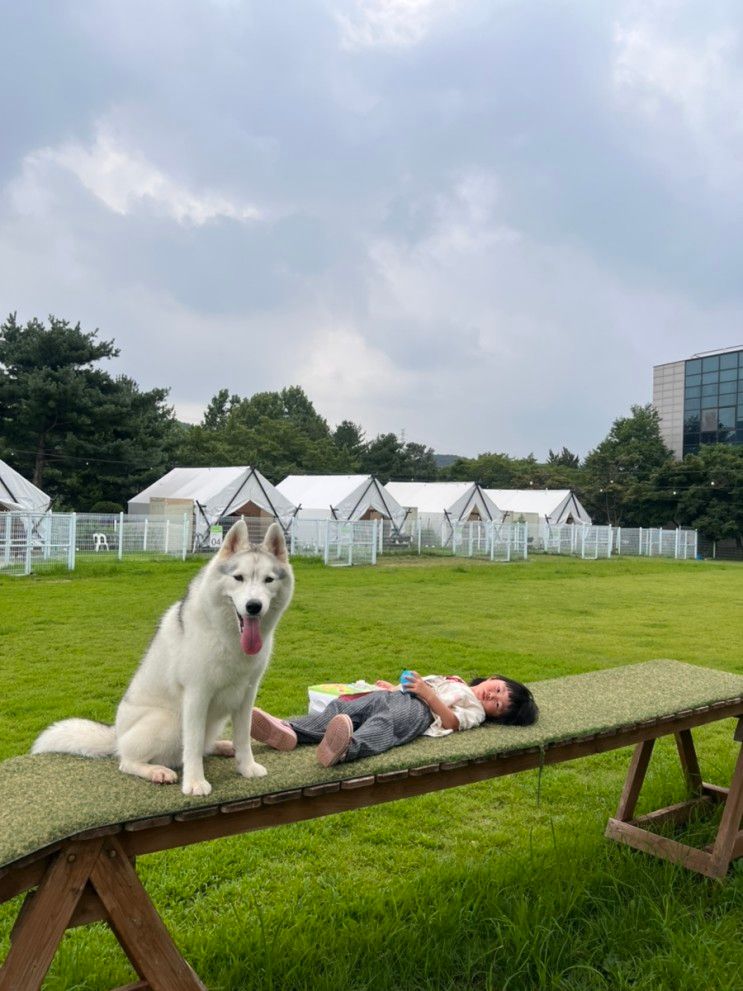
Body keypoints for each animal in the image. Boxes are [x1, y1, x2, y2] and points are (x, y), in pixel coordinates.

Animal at [32, 520, 294, 800]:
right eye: (238, 578)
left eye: (268, 580)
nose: (254, 606)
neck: (228, 638)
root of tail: (117, 735)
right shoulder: (196, 695)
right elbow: (192, 747)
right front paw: (194, 782)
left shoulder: (246, 695)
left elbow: (243, 737)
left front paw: (246, 767)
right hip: (169, 722)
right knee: (128, 761)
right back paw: (156, 771)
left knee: (203, 745)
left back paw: (223, 746)